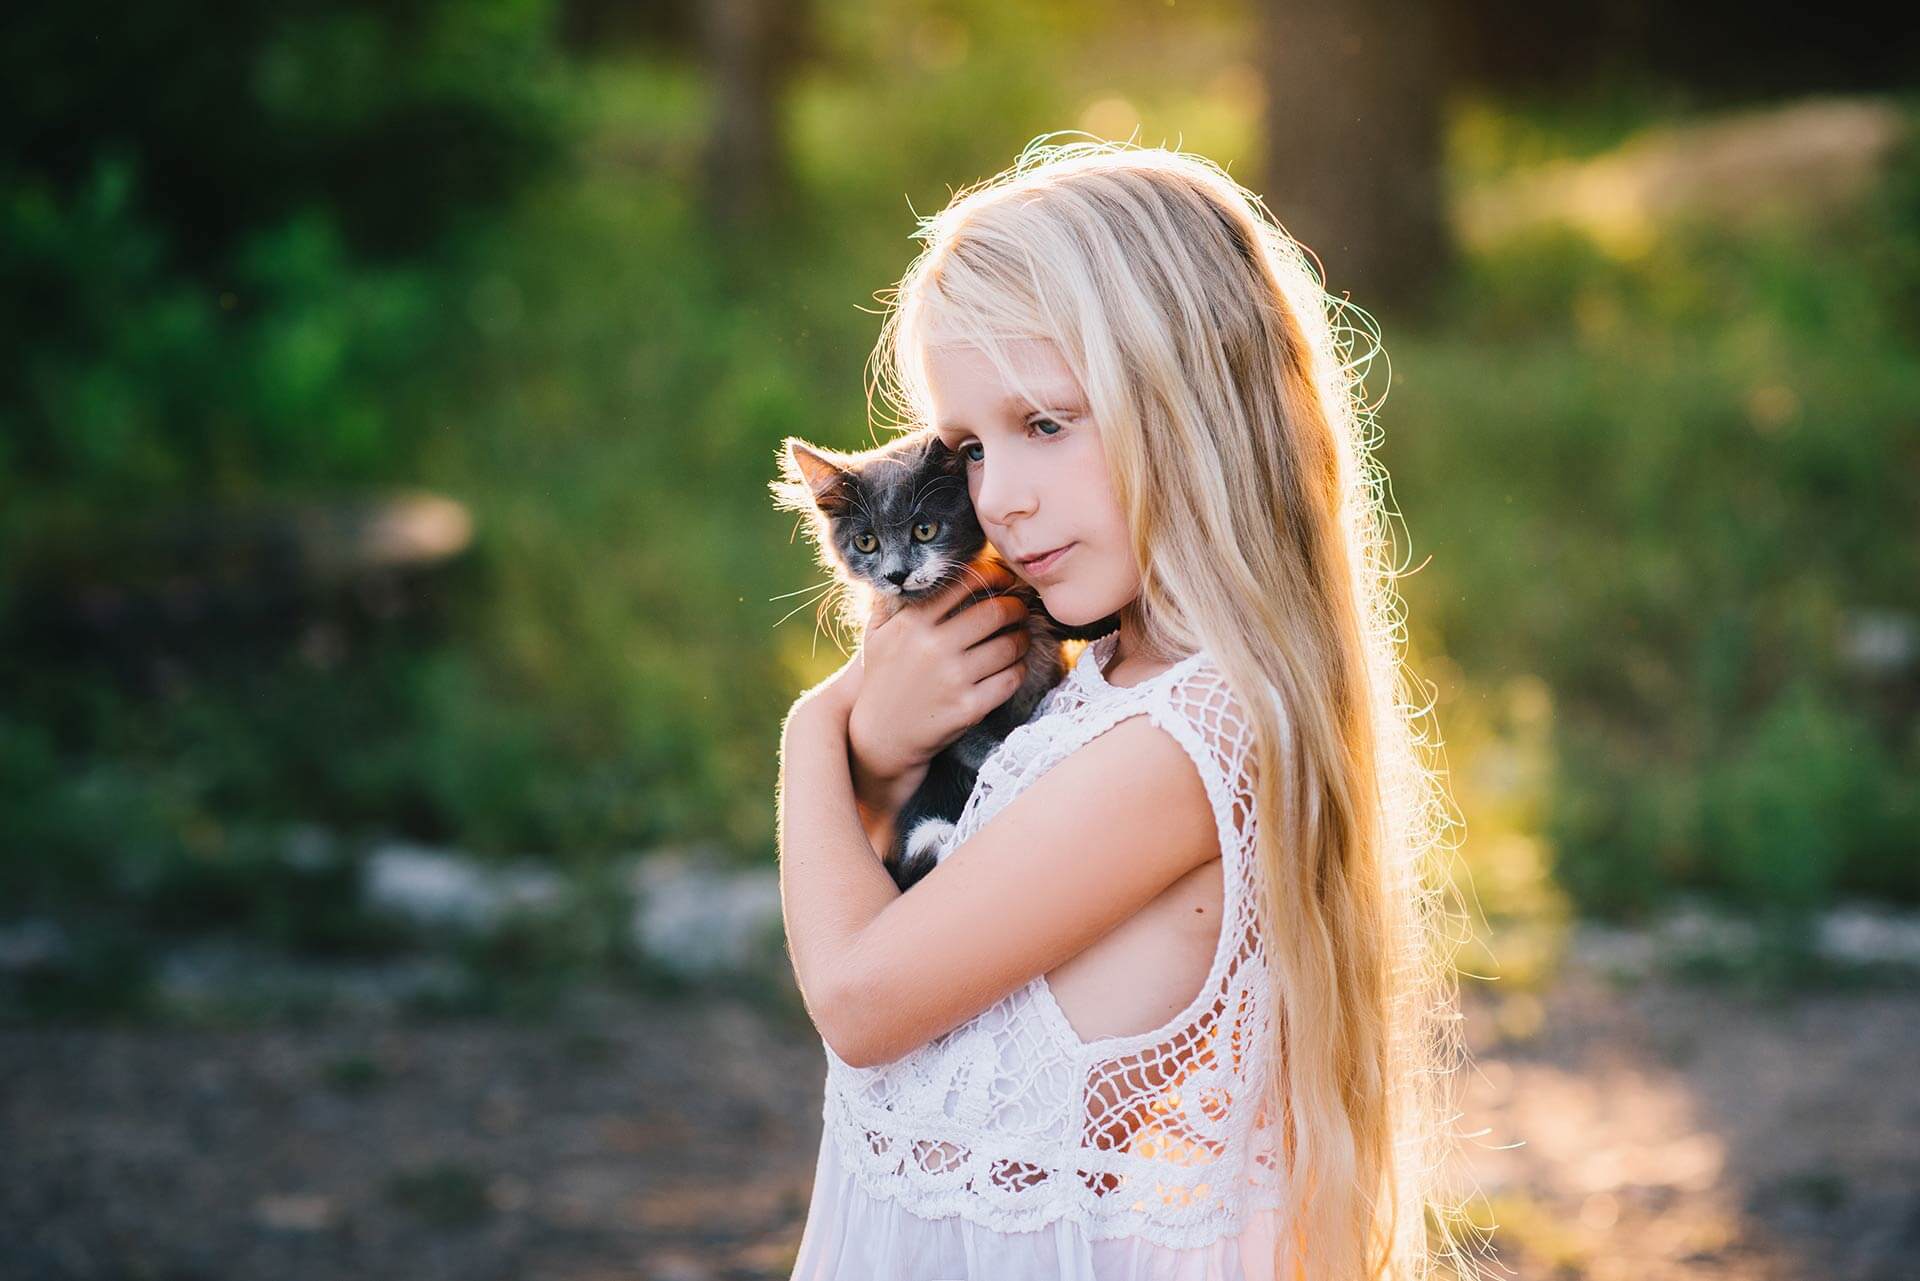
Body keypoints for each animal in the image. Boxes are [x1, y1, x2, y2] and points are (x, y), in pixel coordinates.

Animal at [771, 430, 1113, 891]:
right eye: (866, 542)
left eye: (925, 529)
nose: (896, 575)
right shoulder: (957, 720)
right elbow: (982, 743)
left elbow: (1056, 612)